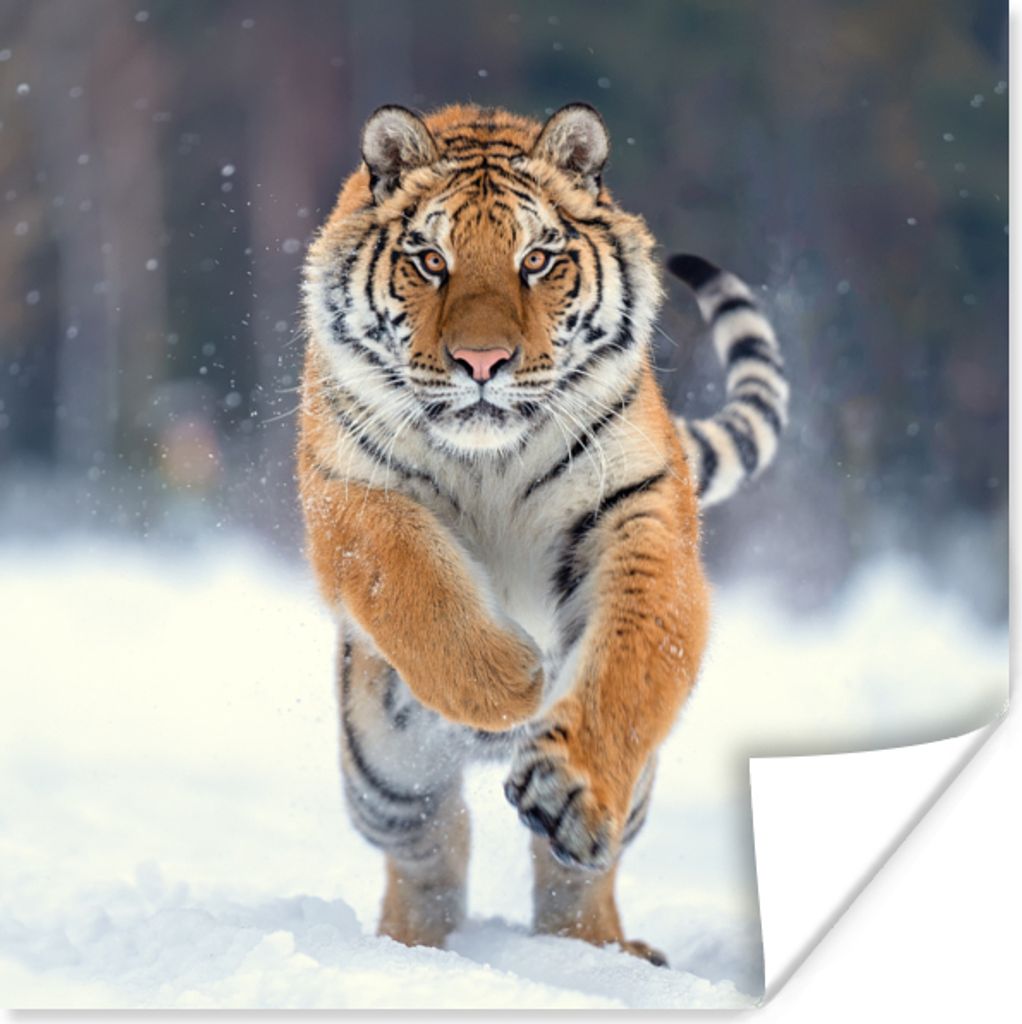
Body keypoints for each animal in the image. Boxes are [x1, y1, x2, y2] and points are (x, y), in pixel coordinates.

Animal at [297, 102, 787, 967]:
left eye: (537, 260)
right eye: (430, 260)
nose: (482, 361)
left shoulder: (638, 511)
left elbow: (632, 660)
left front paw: (570, 784)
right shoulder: (349, 492)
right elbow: (414, 583)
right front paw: (511, 681)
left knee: (573, 875)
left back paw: (599, 951)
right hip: (384, 774)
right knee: (432, 846)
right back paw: (411, 949)